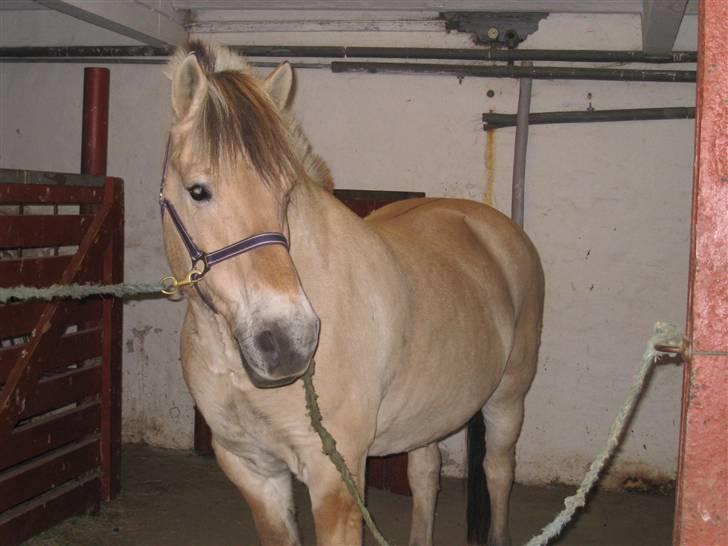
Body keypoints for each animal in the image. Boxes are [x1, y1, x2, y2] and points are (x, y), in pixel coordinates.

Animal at [162, 41, 544, 544]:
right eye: (198, 191)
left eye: (285, 193)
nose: (288, 342)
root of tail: (496, 228)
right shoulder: (253, 471)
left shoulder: (335, 480)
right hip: (433, 412)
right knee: (426, 474)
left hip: (508, 399)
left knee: (499, 472)